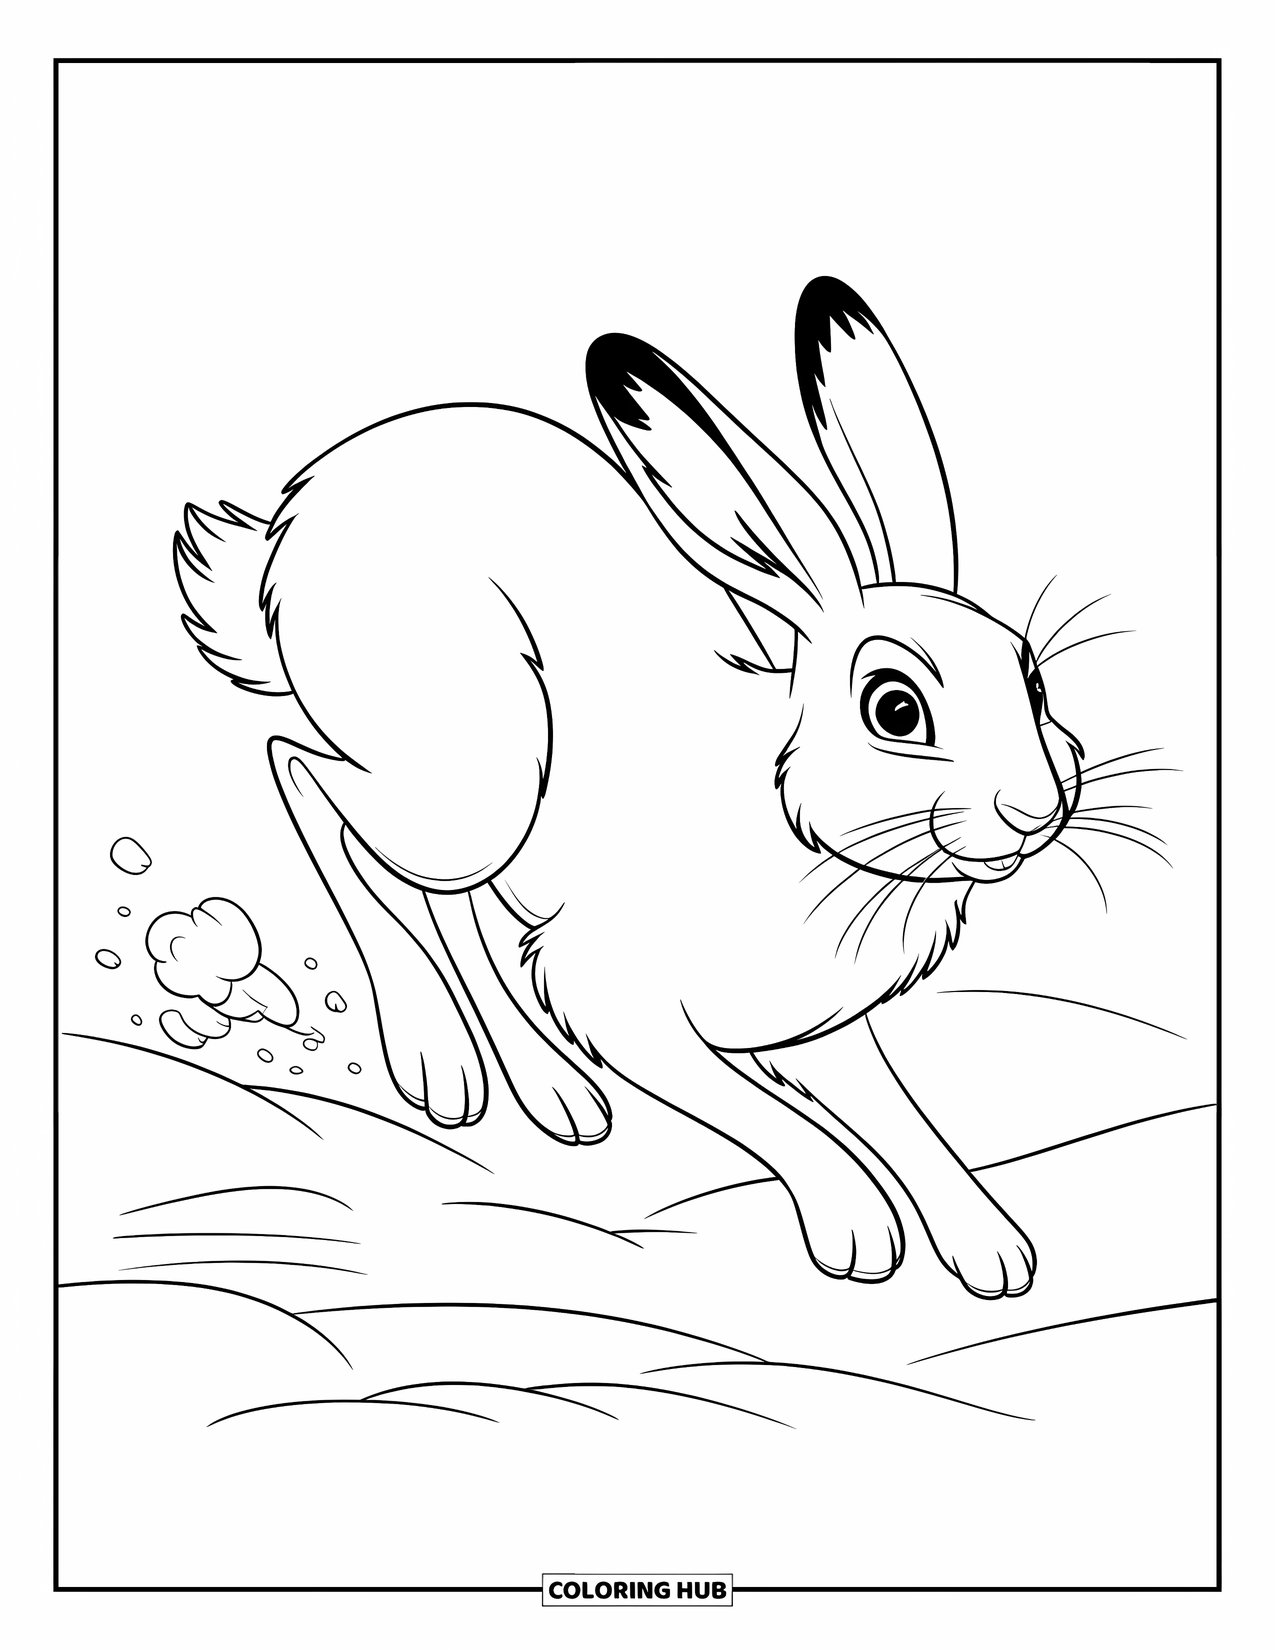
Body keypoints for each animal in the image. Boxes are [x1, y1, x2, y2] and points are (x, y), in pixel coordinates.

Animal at [174, 276, 1083, 1299]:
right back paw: (439, 1059)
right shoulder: (627, 1005)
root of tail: (292, 525)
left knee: (443, 894)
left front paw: (990, 1247)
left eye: (1031, 680)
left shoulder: (823, 1024)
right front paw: (852, 1226)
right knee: (302, 775)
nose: (1037, 811)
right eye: (894, 709)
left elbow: (902, 1115)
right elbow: (768, 1117)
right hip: (471, 782)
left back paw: (551, 1089)